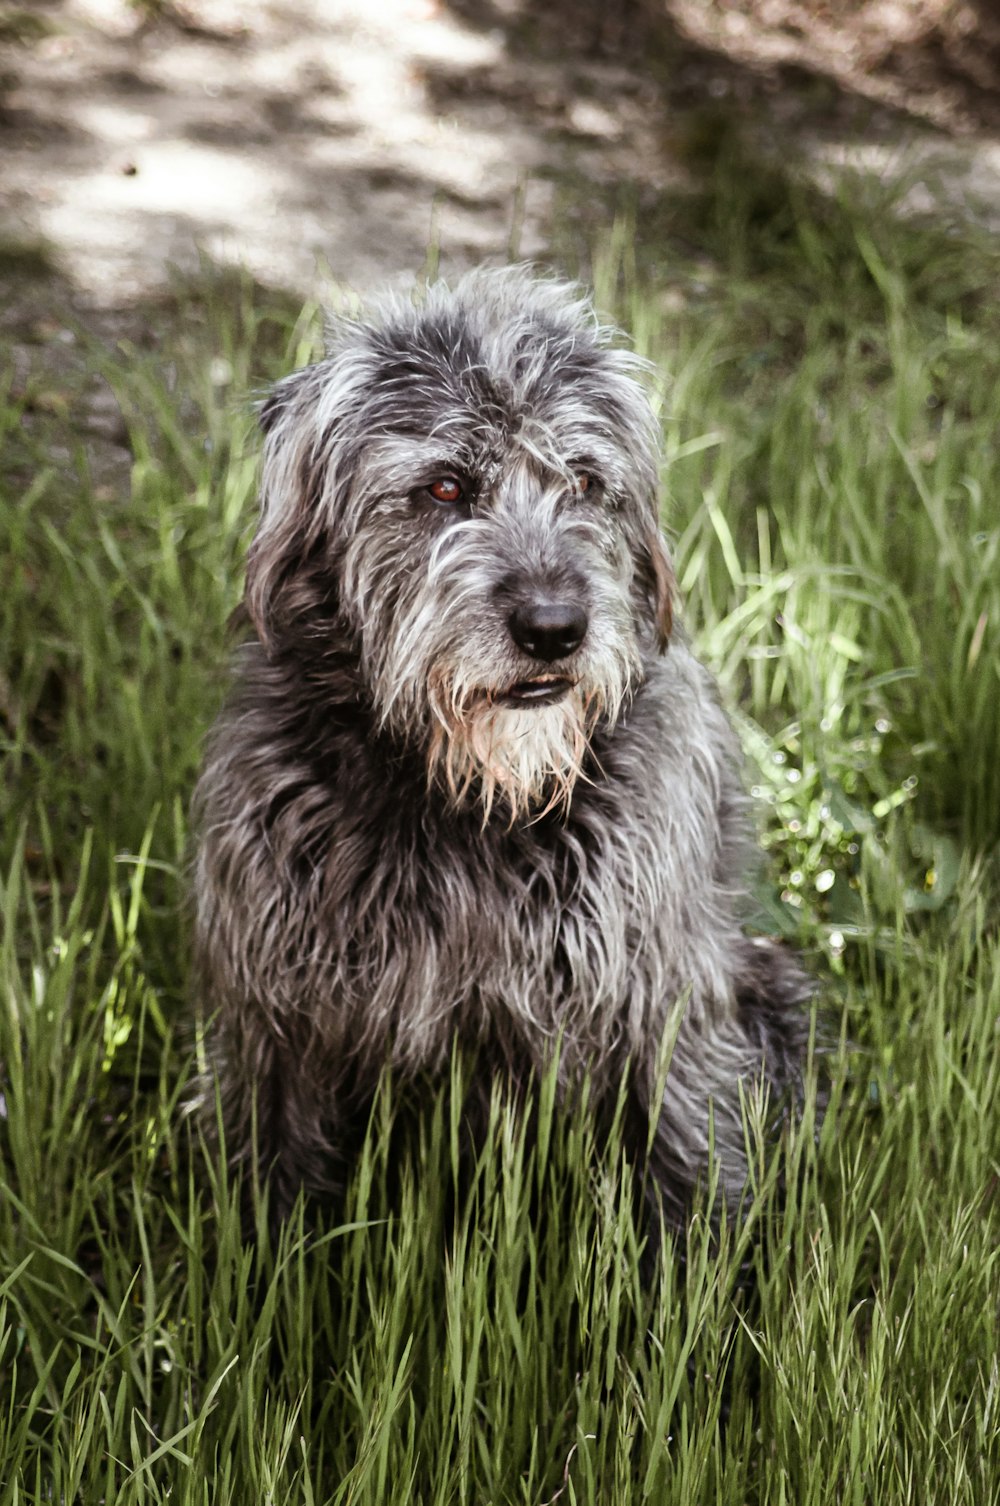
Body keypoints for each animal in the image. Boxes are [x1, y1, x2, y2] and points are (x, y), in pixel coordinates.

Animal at [192, 262, 813, 1222]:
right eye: (446, 488)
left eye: (587, 483)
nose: (555, 629)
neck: (471, 802)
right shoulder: (277, 1011)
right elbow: (271, 1174)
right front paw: (262, 1256)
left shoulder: (659, 993)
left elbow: (683, 1152)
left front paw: (700, 1262)